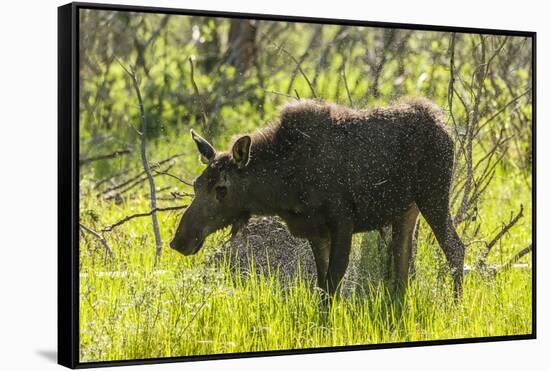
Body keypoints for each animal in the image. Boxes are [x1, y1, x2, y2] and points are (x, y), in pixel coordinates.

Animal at [171, 99, 466, 300]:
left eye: (221, 189)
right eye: (196, 184)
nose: (179, 240)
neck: (284, 188)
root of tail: (445, 126)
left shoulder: (343, 222)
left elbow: (333, 282)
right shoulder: (316, 230)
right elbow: (322, 284)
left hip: (434, 195)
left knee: (455, 248)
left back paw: (455, 304)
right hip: (407, 211)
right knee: (403, 264)